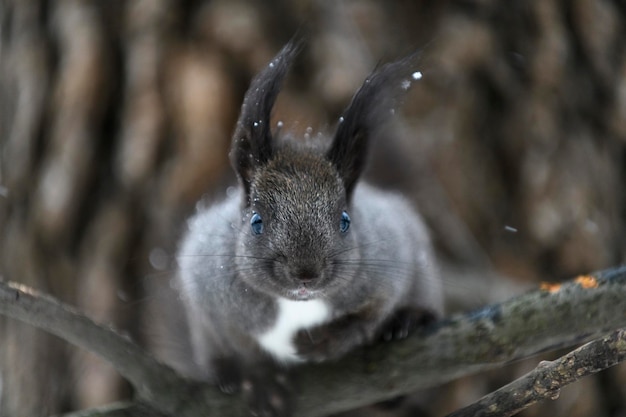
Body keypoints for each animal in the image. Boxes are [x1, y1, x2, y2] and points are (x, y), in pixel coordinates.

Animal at [173, 38, 442, 412]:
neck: (297, 305)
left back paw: (409, 321)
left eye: (345, 221)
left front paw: (323, 342)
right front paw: (263, 379)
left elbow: (368, 318)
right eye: (256, 221)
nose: (306, 275)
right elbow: (241, 343)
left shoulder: (389, 266)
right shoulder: (210, 293)